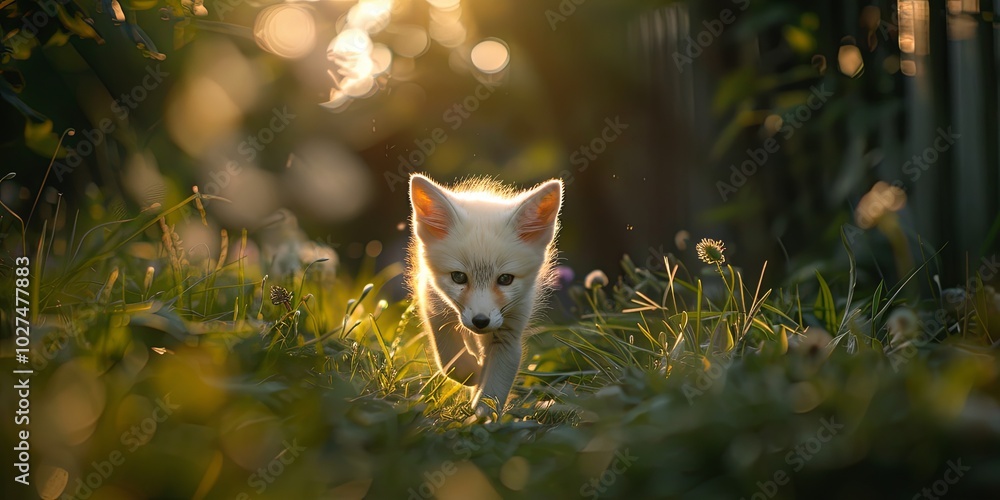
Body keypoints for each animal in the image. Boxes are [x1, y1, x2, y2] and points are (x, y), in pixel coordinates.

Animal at [407, 173, 563, 420]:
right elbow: (450, 358)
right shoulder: (432, 304)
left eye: (505, 279)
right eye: (459, 277)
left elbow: (493, 390)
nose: (481, 321)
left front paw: (482, 417)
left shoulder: (508, 334)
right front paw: (471, 372)